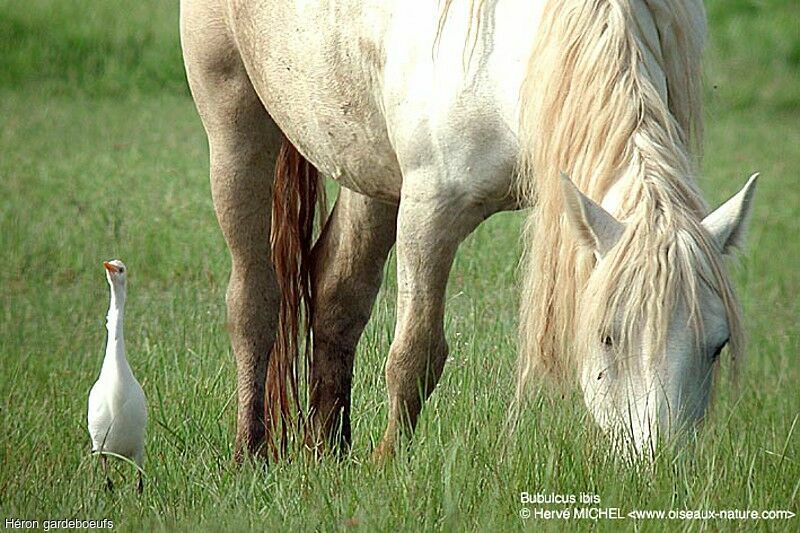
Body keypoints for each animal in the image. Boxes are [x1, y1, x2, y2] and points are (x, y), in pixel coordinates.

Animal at [180, 0, 756, 458]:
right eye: (608, 337)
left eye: (718, 345)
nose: (661, 467)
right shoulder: (429, 211)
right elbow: (415, 355)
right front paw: (389, 466)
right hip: (235, 128)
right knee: (254, 297)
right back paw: (250, 453)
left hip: (369, 168)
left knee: (336, 294)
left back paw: (327, 451)